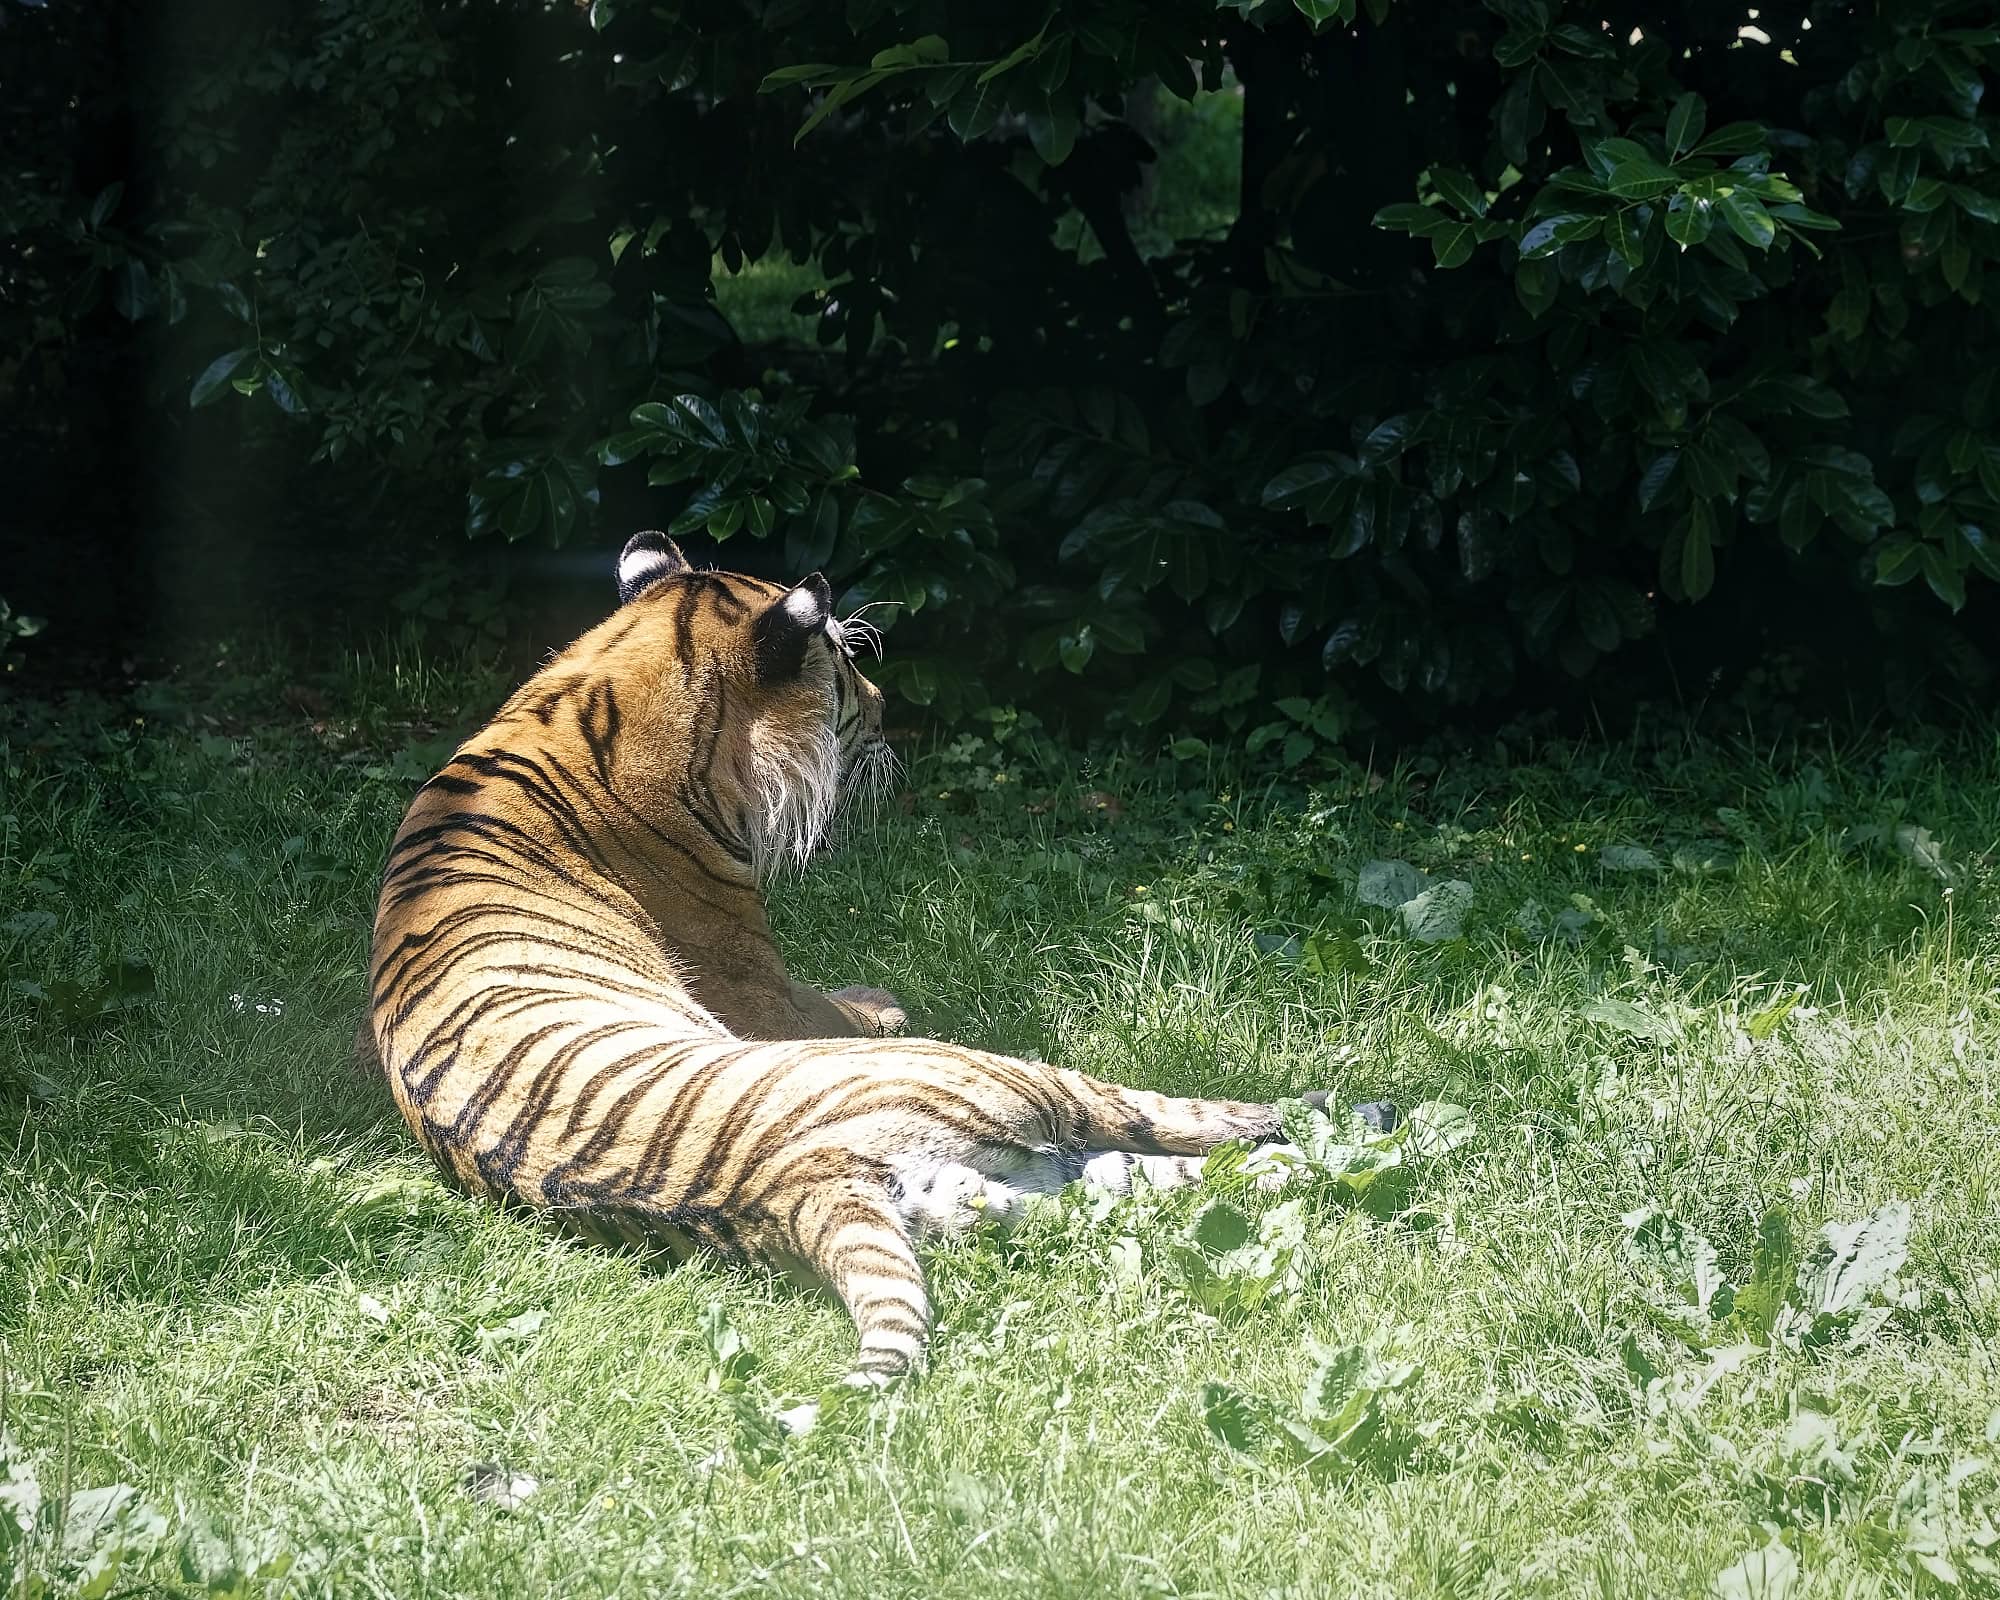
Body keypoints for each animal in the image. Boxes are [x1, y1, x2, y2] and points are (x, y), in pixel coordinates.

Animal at [367, 531, 1368, 1388]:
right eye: (848, 666)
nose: (890, 711)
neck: (592, 699)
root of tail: (788, 1186)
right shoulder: (758, 980)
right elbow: (836, 999)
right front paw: (880, 997)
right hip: (1005, 1076)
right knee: (1181, 1118)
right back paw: (1360, 1111)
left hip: (999, 1180)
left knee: (1146, 1178)